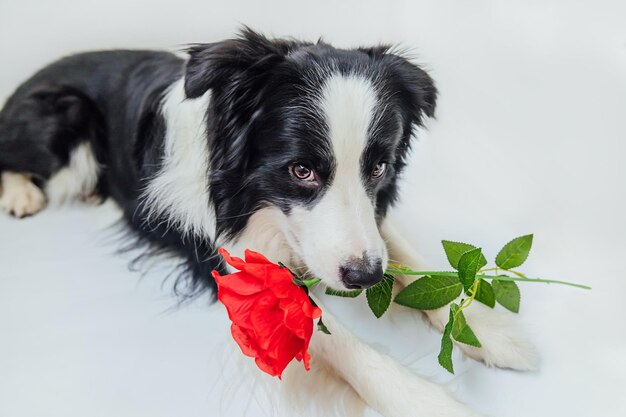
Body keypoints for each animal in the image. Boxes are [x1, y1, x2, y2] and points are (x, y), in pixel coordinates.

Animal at [0, 27, 536, 414]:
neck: (254, 203)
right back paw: (23, 194)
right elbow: (335, 336)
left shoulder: (369, 227)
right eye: (301, 170)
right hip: (62, 117)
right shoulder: (231, 263)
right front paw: (424, 401)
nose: (365, 278)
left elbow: (402, 250)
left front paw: (488, 330)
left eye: (379, 167)